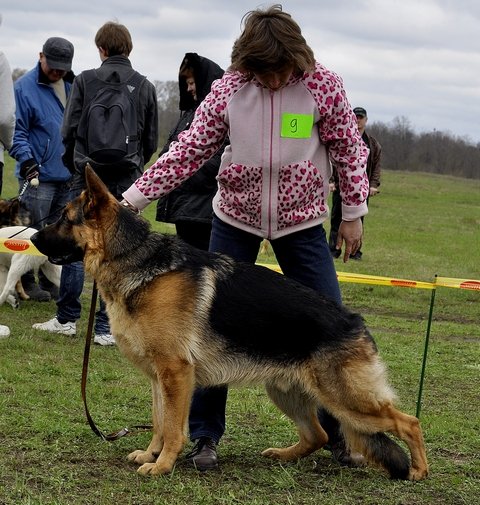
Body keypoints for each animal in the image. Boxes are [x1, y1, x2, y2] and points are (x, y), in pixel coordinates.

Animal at [31, 166, 430, 480]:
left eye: (65, 217)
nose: (31, 236)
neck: (135, 259)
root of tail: (356, 323)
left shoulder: (176, 374)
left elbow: (173, 428)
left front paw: (162, 466)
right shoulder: (160, 378)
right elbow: (159, 421)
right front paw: (150, 454)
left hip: (347, 400)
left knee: (408, 422)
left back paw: (419, 471)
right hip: (286, 391)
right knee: (317, 435)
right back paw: (283, 455)